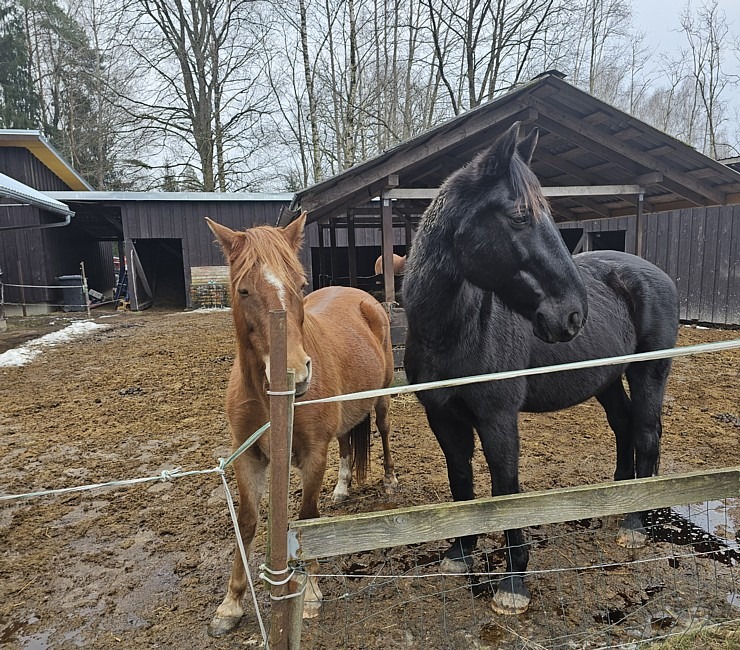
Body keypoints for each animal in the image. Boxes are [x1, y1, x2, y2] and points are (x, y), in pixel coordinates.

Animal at [202, 213, 398, 632]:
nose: (298, 371)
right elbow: (246, 522)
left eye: (301, 285)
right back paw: (341, 488)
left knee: (384, 430)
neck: (270, 398)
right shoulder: (248, 458)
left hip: (383, 396)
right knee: (346, 443)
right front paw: (231, 602)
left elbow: (308, 520)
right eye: (244, 290)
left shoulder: (313, 454)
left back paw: (390, 480)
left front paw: (309, 594)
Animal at [402, 120, 680, 612]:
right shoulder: (442, 415)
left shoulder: (497, 418)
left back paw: (633, 523)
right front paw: (460, 552)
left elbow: (506, 487)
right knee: (625, 426)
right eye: (519, 216)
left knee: (646, 433)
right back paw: (614, 502)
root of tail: (653, 272)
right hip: (607, 379)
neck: (452, 332)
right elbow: (461, 479)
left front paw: (514, 583)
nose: (572, 315)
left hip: (649, 372)